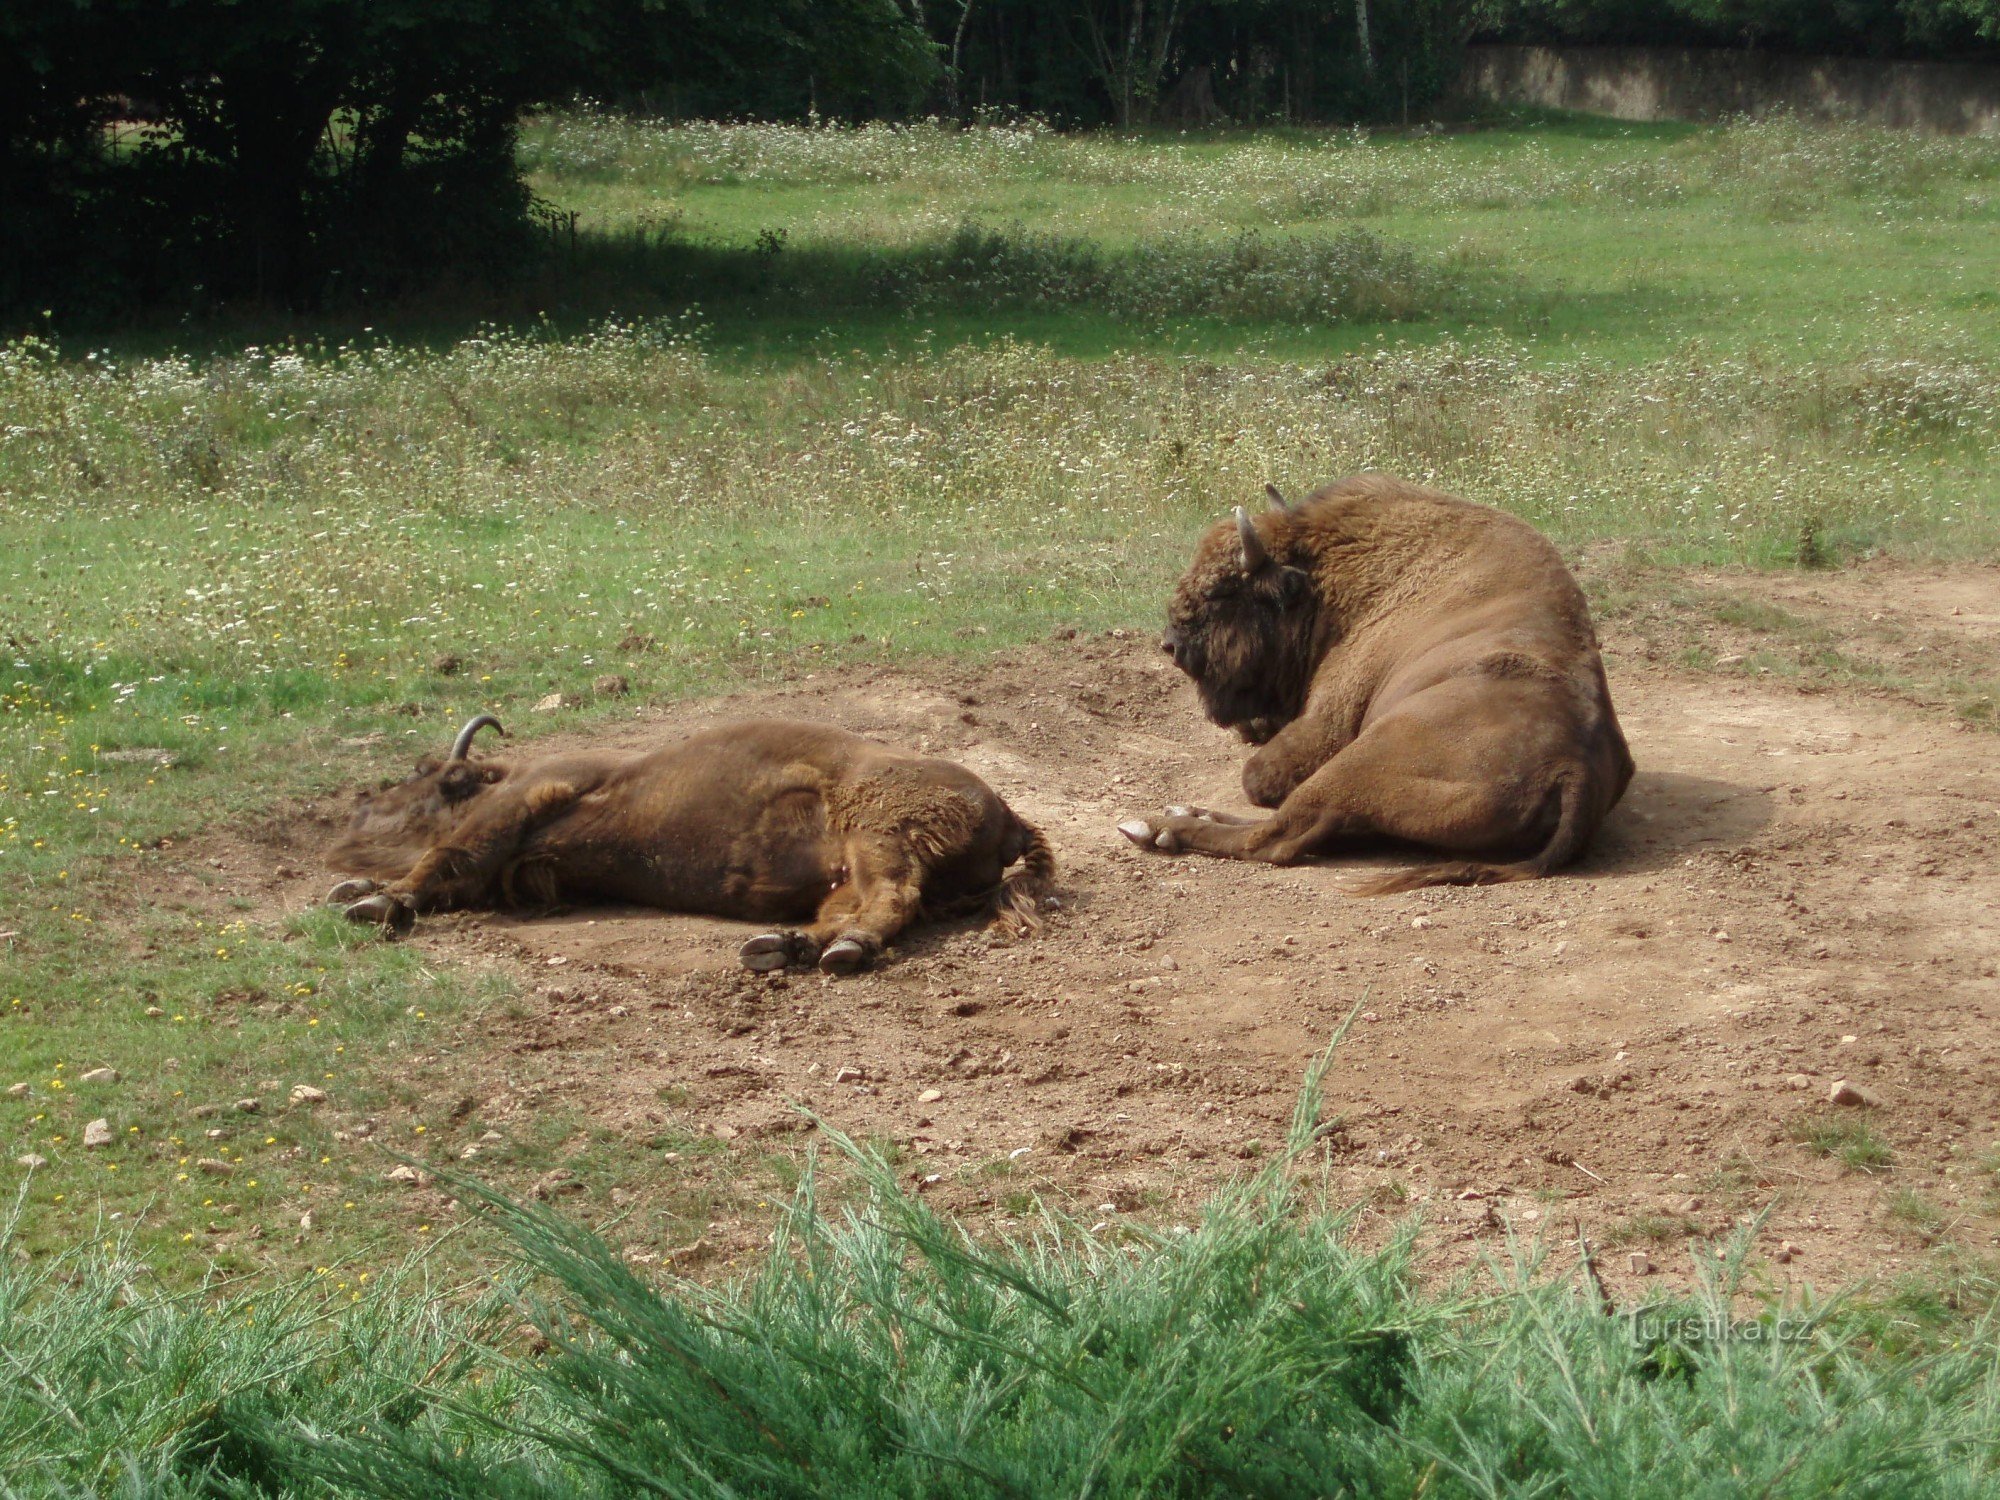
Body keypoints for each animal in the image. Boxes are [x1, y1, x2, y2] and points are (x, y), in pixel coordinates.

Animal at [320, 716, 1056, 976]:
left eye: (434, 777)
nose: (355, 812)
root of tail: (1007, 810)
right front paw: (359, 890)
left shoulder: (530, 797)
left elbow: (448, 860)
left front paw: (375, 902)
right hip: (851, 870)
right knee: (855, 910)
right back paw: (781, 947)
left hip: (878, 840)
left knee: (888, 903)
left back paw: (832, 952)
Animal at [1120, 476, 1632, 888]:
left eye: (1221, 591)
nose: (1171, 645)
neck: (1325, 584)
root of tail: (1575, 765)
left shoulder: (1325, 723)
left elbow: (1257, 779)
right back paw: (1181, 815)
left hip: (1358, 765)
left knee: (1277, 837)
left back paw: (1157, 828)